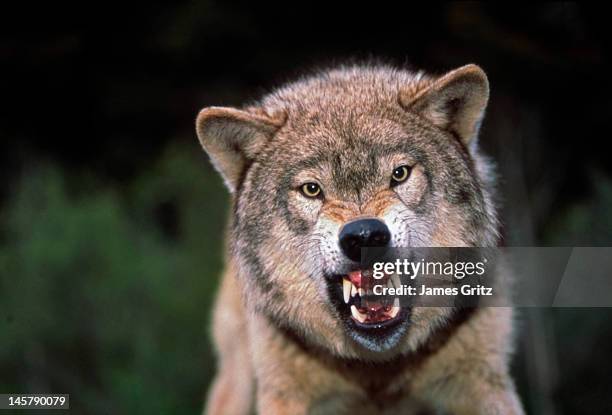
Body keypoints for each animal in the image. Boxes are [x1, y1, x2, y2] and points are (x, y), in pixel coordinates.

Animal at [198, 62, 524, 415]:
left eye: (400, 174)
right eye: (311, 189)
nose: (365, 234)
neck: (377, 370)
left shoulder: (484, 380)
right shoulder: (283, 392)